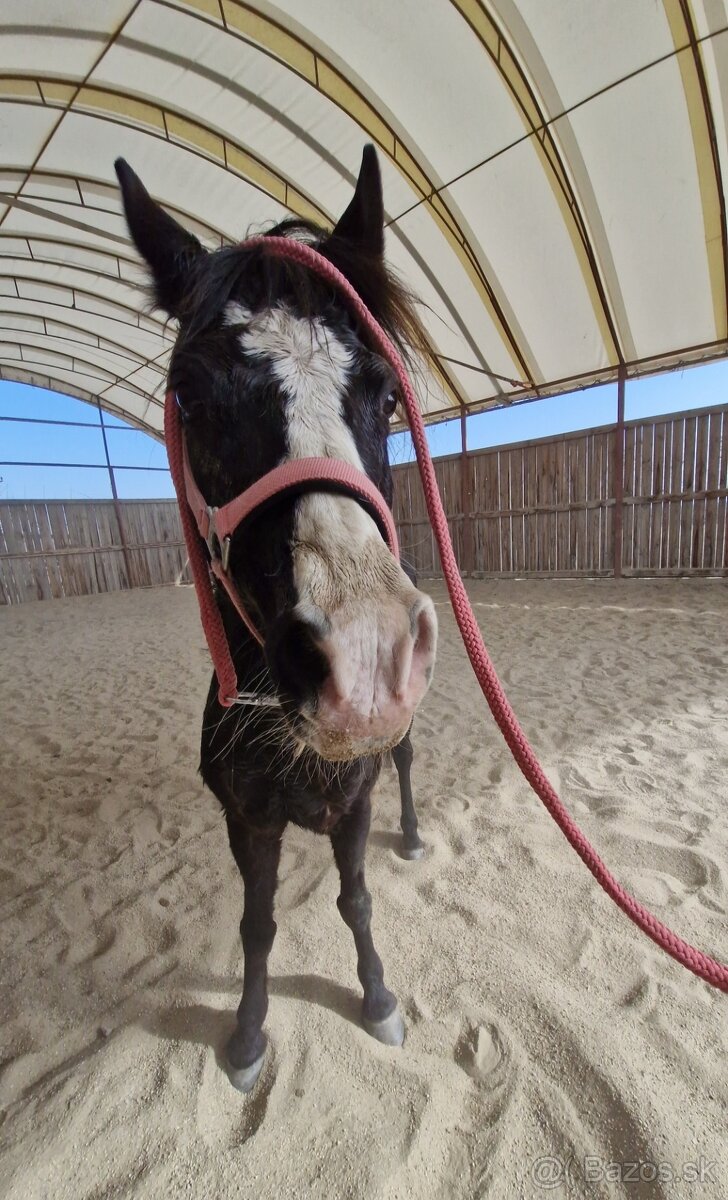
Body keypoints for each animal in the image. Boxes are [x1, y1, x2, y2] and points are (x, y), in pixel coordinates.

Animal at [115, 146, 438, 1092]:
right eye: (188, 397)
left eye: (387, 395)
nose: (362, 660)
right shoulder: (247, 821)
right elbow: (257, 927)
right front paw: (248, 1036)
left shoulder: (355, 800)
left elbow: (356, 898)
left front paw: (377, 999)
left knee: (407, 761)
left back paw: (415, 836)